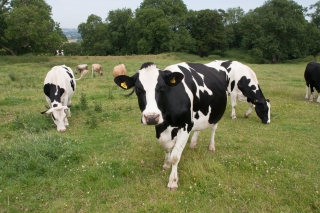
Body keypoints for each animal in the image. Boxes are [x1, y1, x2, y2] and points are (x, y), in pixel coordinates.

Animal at [114, 62, 229, 190]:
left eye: (162, 87)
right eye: (138, 89)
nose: (151, 117)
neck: (167, 122)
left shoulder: (185, 126)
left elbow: (175, 156)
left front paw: (173, 181)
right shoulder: (160, 128)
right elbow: (166, 147)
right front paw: (166, 164)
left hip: (216, 113)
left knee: (213, 128)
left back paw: (211, 147)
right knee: (198, 128)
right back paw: (193, 144)